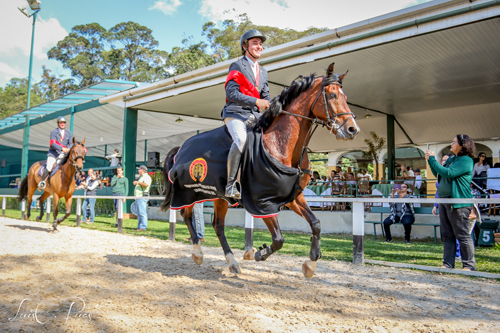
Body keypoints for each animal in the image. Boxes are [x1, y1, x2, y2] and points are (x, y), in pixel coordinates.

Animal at [160, 63, 360, 276]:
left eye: (345, 96)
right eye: (332, 95)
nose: (352, 130)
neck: (281, 144)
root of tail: (180, 148)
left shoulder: (293, 196)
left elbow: (316, 224)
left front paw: (310, 264)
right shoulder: (262, 201)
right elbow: (278, 239)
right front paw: (258, 253)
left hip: (219, 197)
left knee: (218, 225)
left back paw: (232, 262)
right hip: (189, 192)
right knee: (186, 215)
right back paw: (198, 254)